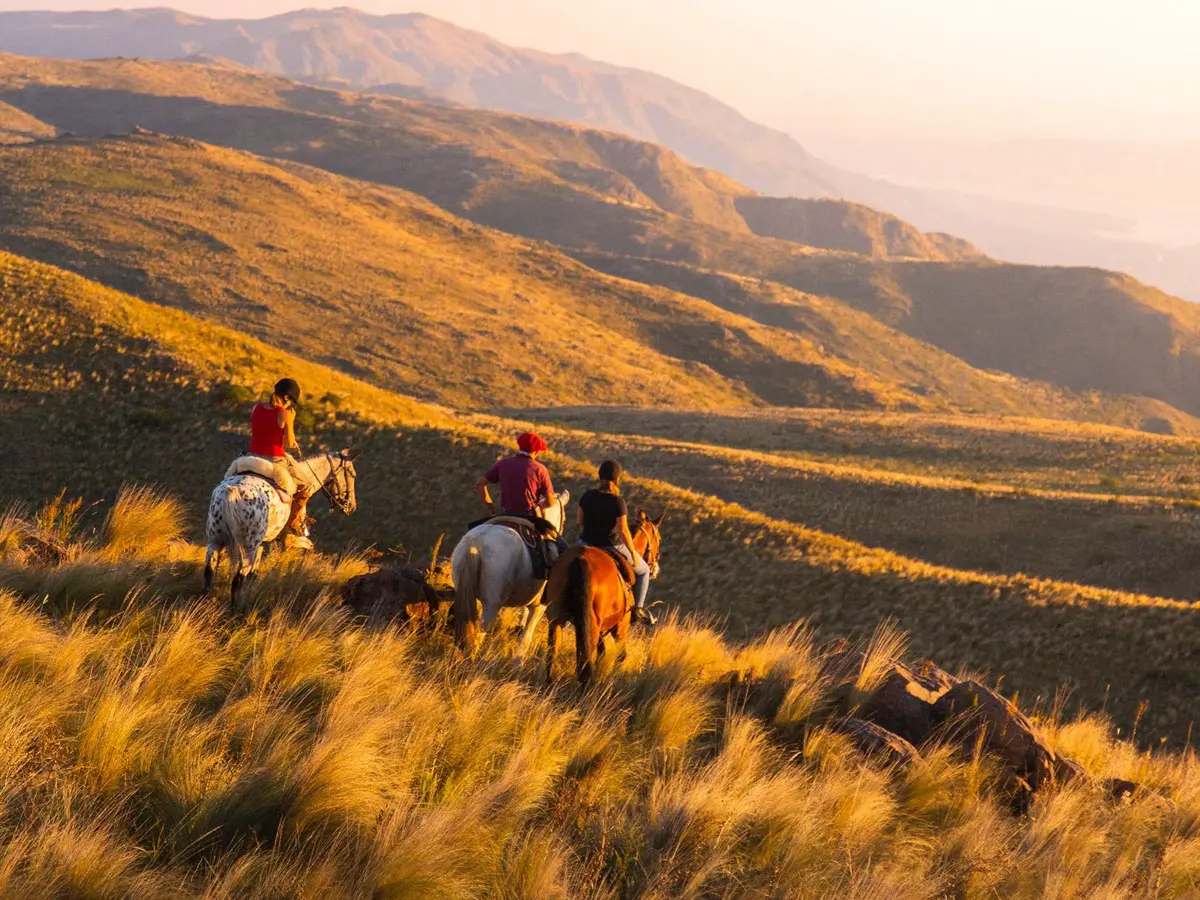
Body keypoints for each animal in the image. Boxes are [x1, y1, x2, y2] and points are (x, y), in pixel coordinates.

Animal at [201, 451, 357, 614]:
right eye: (352, 474)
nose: (352, 506)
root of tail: (229, 493)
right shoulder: (290, 538)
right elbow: (309, 546)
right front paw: (298, 569)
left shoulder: (261, 544)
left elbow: (254, 574)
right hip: (247, 547)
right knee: (238, 579)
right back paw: (235, 611)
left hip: (215, 540)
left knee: (209, 571)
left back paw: (205, 605)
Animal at [453, 494, 576, 657]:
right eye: (565, 518)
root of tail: (475, 543)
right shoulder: (539, 607)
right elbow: (526, 638)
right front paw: (518, 659)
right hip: (491, 604)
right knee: (479, 634)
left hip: (468, 595)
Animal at [544, 511, 667, 686]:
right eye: (659, 538)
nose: (655, 568)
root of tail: (579, 559)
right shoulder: (621, 627)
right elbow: (621, 655)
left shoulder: (602, 629)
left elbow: (601, 654)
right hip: (592, 624)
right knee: (586, 657)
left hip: (556, 617)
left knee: (553, 651)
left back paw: (550, 684)